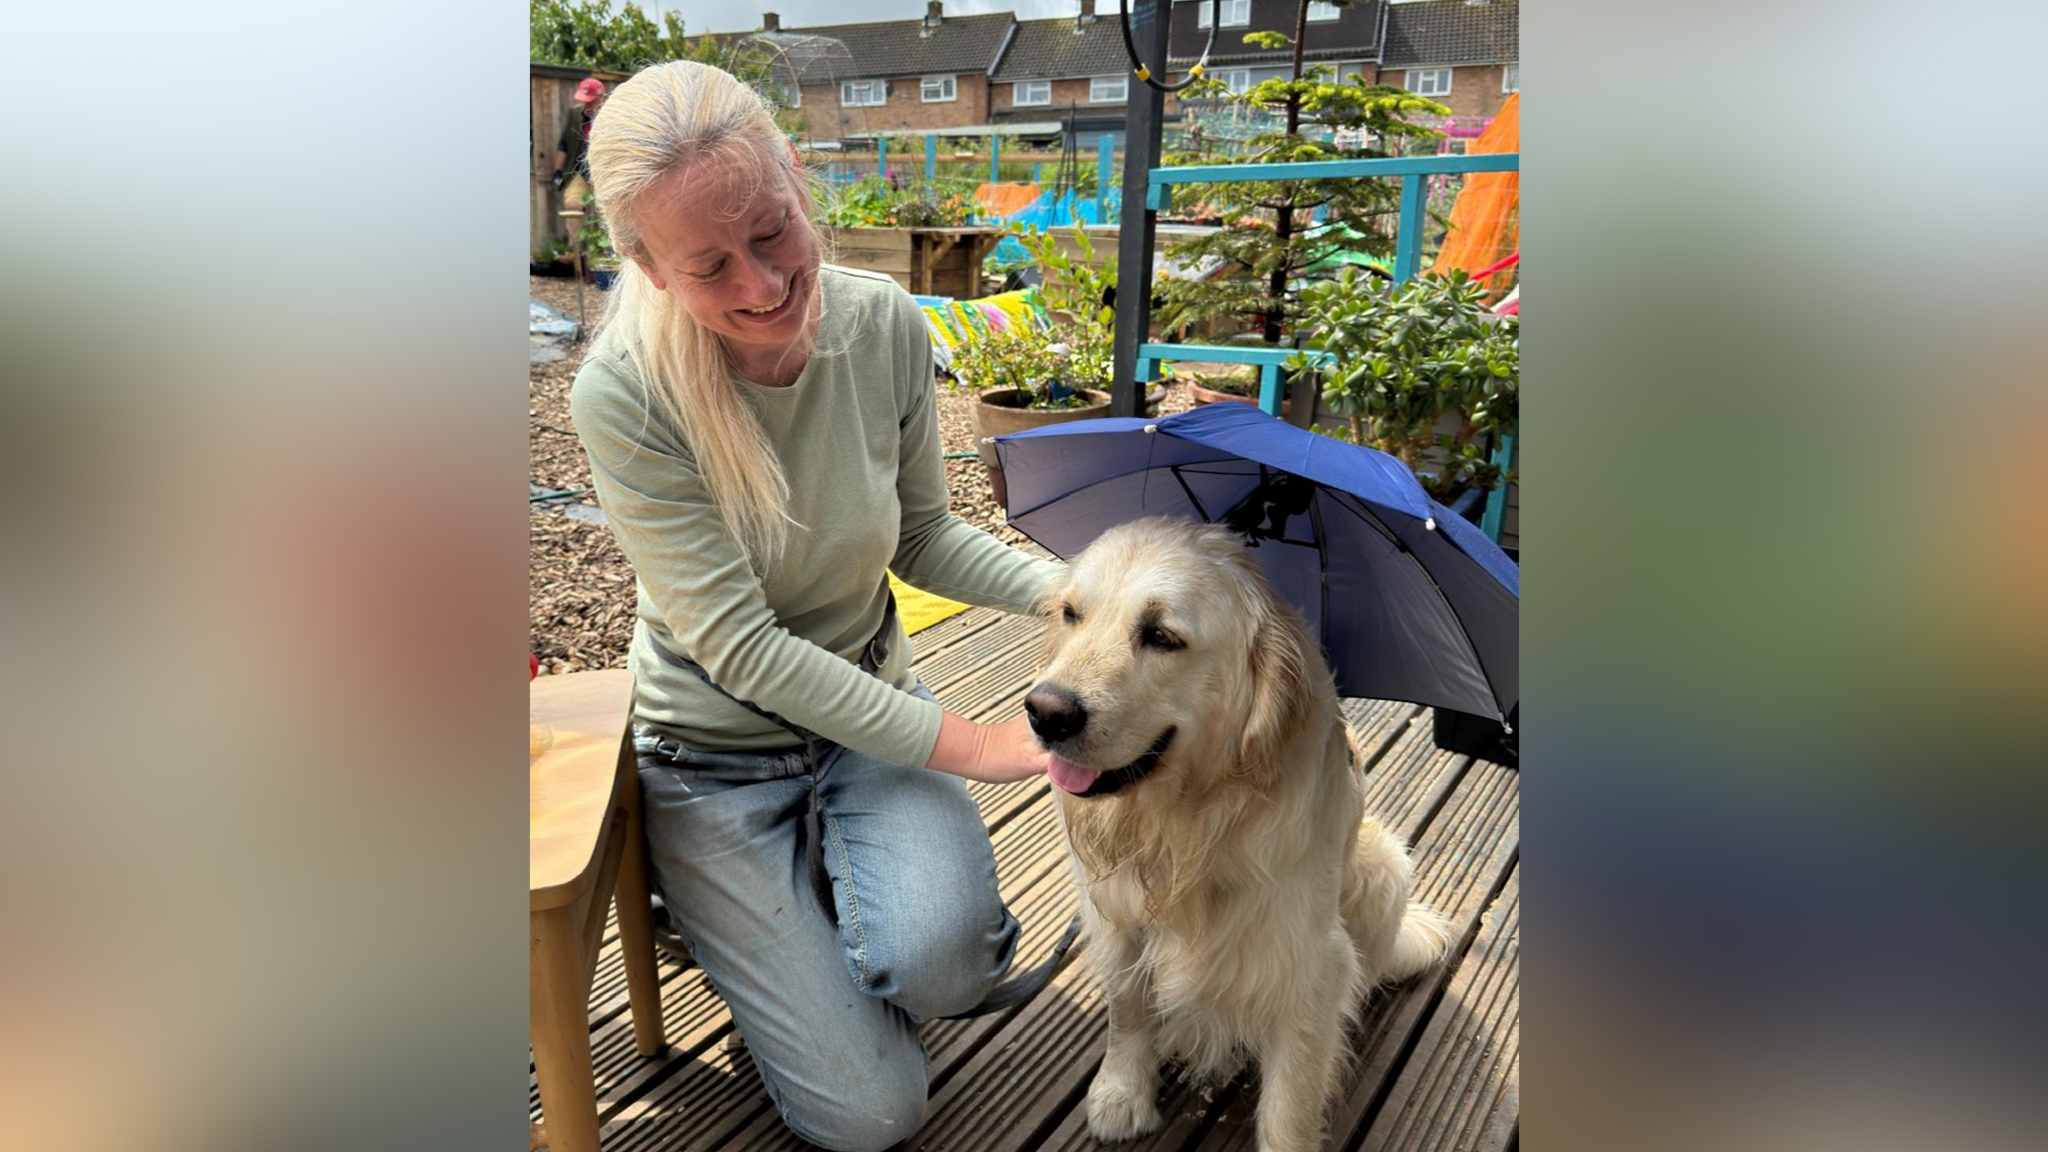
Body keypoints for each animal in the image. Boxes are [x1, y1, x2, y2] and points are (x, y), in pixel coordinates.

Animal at [1024, 516, 1458, 1139]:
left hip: (1385, 868)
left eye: (1162, 636)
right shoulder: (1118, 918)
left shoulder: (1309, 968)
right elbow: (1126, 1007)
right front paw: (1122, 1091)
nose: (1044, 712)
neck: (1180, 827)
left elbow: (1289, 1109)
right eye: (1071, 614)